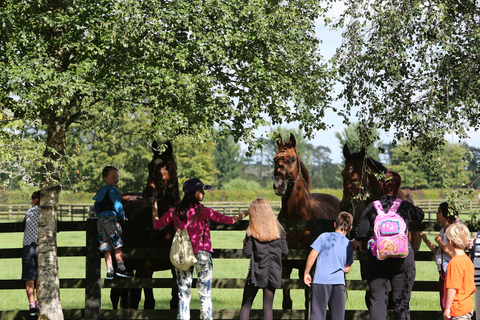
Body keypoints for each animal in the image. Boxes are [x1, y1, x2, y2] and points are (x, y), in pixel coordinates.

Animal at [110, 141, 180, 310]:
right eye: (149, 165)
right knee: (116, 296)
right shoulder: (146, 267)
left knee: (129, 298)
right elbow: (149, 303)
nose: (149, 193)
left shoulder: (175, 267)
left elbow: (175, 302)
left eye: (168, 165)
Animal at [274, 134, 342, 310]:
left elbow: (309, 300)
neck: (298, 219)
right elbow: (287, 302)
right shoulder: (286, 265)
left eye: (292, 159)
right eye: (275, 159)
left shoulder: (308, 265)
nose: (279, 186)